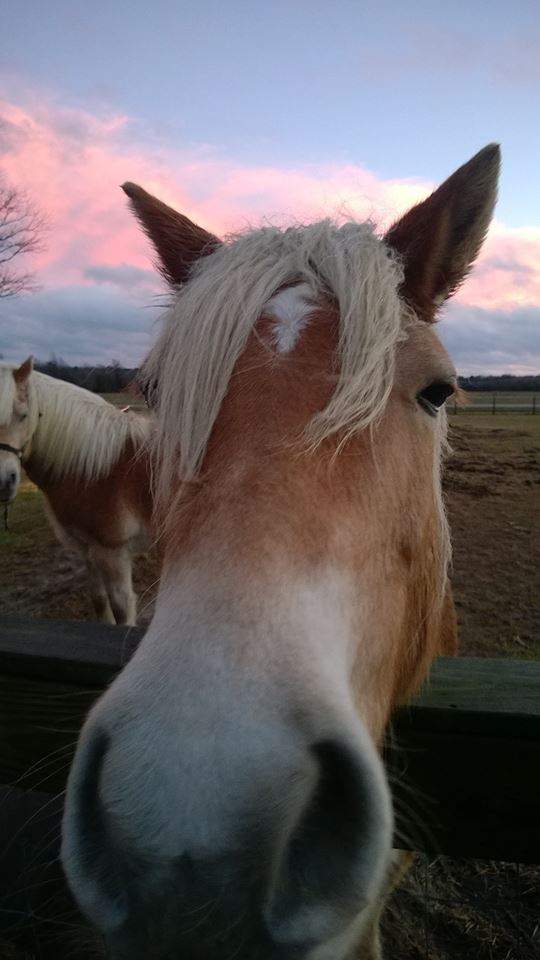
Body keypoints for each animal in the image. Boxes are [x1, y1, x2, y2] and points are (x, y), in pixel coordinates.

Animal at [0, 362, 153, 625]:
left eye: (23, 415)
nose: (4, 481)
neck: (96, 469)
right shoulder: (86, 550)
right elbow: (99, 600)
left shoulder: (113, 554)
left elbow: (122, 609)